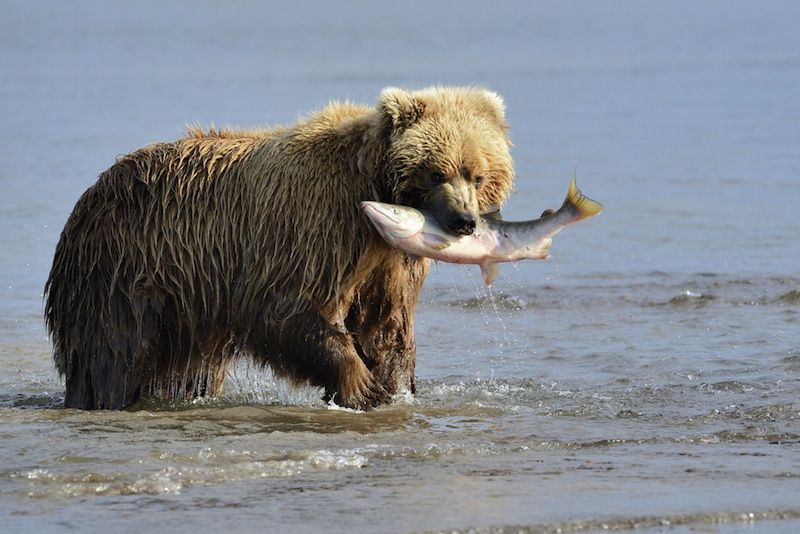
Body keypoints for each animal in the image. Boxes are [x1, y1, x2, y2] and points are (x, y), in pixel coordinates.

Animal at [43, 86, 516, 410]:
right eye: (437, 172)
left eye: (477, 174)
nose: (464, 221)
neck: (371, 194)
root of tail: (90, 195)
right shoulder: (312, 228)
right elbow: (283, 306)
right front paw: (359, 383)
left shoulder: (387, 262)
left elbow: (386, 324)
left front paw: (393, 386)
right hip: (124, 270)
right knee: (112, 352)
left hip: (184, 302)